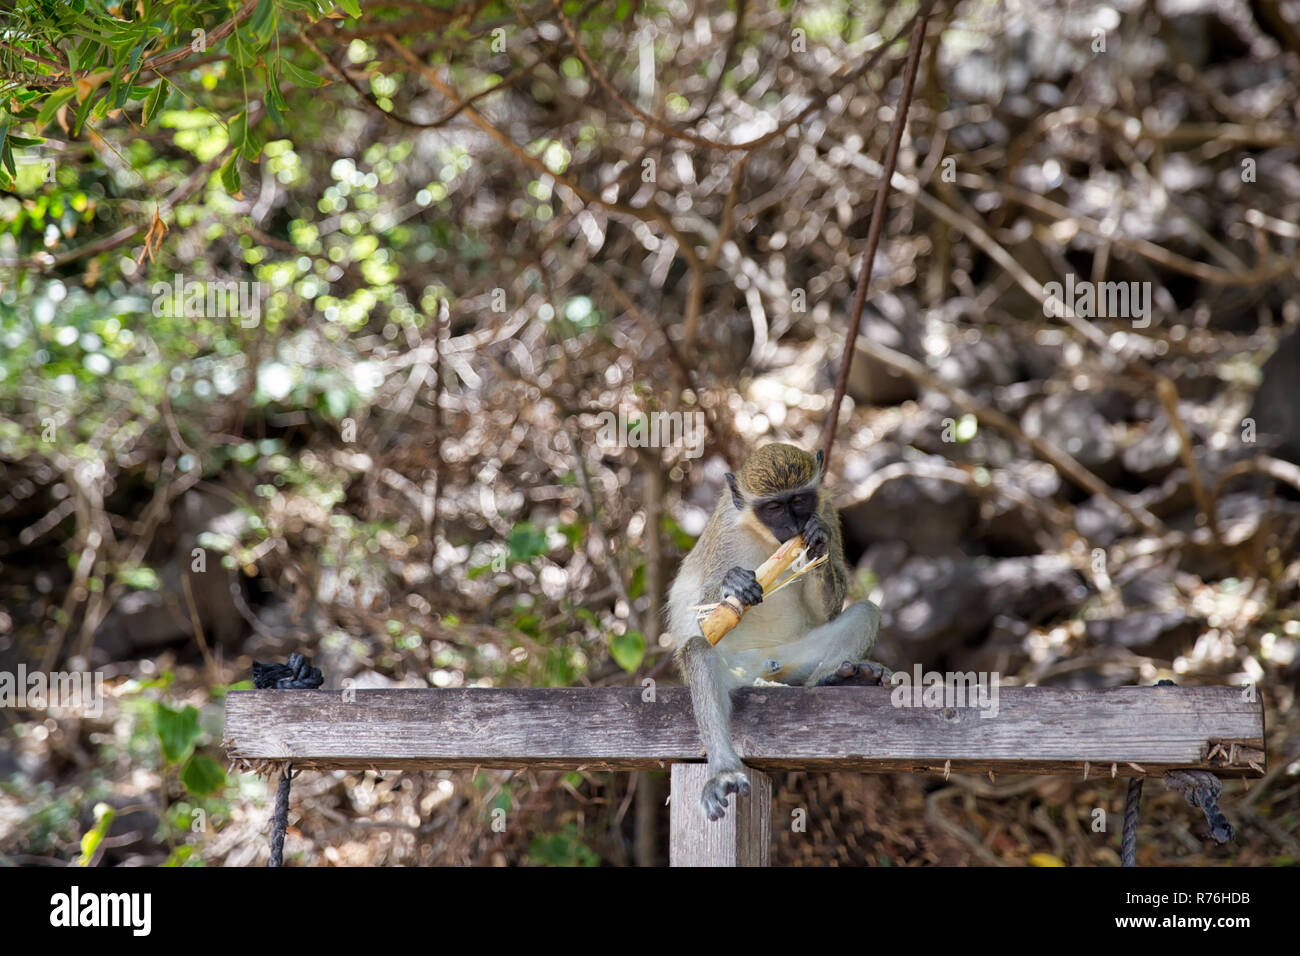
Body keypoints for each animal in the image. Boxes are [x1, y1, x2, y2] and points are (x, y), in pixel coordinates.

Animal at [667, 442, 887, 821]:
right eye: (772, 507)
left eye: (798, 500)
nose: (793, 524)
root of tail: (763, 671)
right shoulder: (726, 528)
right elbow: (701, 618)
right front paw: (732, 585)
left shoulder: (827, 511)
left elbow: (827, 608)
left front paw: (816, 542)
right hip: (734, 671)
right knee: (697, 650)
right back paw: (724, 773)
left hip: (792, 661)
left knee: (865, 611)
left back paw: (833, 678)